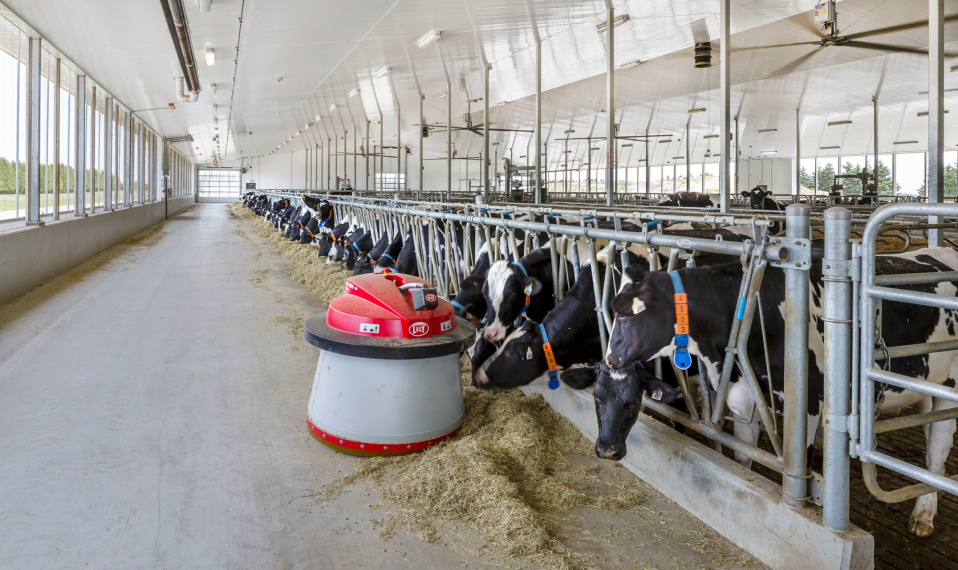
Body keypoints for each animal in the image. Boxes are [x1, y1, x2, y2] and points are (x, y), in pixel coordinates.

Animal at [612, 246, 958, 536]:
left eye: (627, 315)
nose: (609, 357)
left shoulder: (806, 408)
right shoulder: (743, 400)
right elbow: (742, 456)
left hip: (948, 389)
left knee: (937, 450)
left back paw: (923, 516)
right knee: (933, 441)